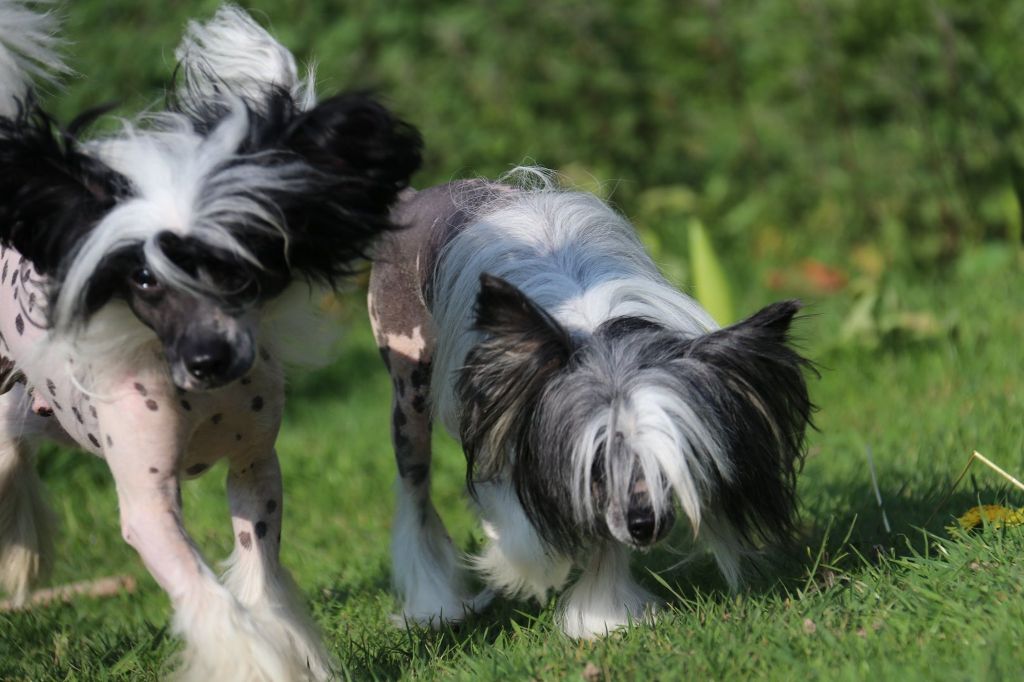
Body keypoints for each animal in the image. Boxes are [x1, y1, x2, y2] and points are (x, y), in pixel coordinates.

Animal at [0, 3, 419, 675]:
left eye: (237, 260)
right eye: (143, 278)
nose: (209, 359)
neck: (203, 399)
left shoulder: (254, 466)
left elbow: (262, 576)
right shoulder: (148, 504)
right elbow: (210, 598)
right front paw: (258, 667)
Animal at [372, 173, 811, 634]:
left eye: (674, 456)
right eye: (599, 462)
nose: (645, 525)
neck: (591, 324)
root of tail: (418, 194)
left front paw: (602, 619)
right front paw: (525, 569)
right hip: (408, 390)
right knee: (415, 497)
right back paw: (434, 607)